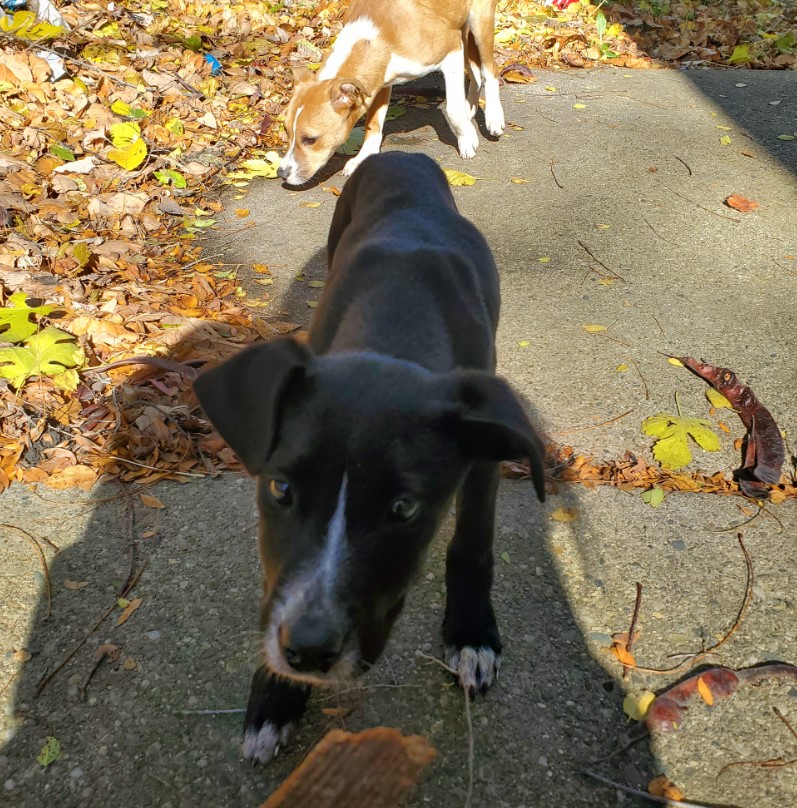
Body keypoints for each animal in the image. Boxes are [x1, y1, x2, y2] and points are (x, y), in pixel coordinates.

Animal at [194, 152, 544, 764]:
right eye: (281, 489)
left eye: (403, 509)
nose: (309, 651)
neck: (394, 329)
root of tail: (403, 154)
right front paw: (276, 695)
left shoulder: (483, 460)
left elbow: (472, 544)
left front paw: (471, 634)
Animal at [278, 0, 504, 186]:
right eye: (287, 131)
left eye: (310, 139)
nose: (281, 173)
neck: (378, 35)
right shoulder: (378, 83)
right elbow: (373, 124)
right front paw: (363, 158)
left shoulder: (451, 50)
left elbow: (453, 109)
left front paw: (467, 139)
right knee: (476, 73)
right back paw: (470, 109)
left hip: (479, 19)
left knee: (489, 70)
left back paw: (493, 118)